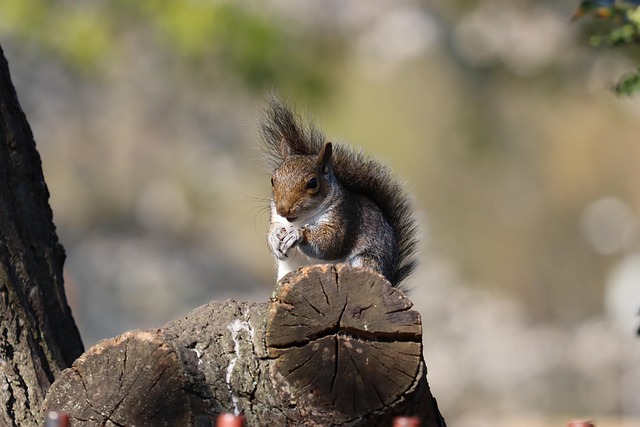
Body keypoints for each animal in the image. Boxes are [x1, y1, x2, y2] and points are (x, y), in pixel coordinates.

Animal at [260, 96, 418, 288]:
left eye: (313, 183)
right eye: (272, 180)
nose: (283, 209)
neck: (300, 219)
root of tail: (389, 279)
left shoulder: (344, 216)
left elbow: (332, 242)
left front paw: (298, 234)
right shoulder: (276, 217)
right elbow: (271, 231)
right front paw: (274, 238)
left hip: (365, 261)